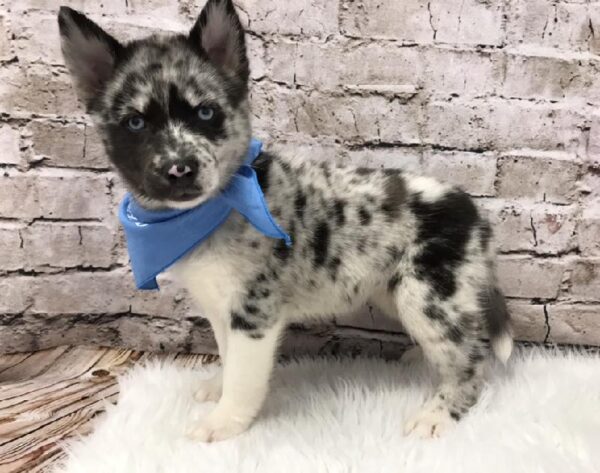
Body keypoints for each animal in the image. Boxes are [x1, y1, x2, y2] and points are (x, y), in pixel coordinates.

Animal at [58, 0, 512, 442]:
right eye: (135, 123)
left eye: (205, 113)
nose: (179, 169)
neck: (212, 210)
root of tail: (474, 213)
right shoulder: (221, 306)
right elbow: (227, 357)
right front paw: (217, 388)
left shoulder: (253, 312)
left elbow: (243, 378)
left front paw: (224, 421)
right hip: (396, 290)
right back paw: (422, 359)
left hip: (428, 296)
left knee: (472, 356)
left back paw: (439, 412)